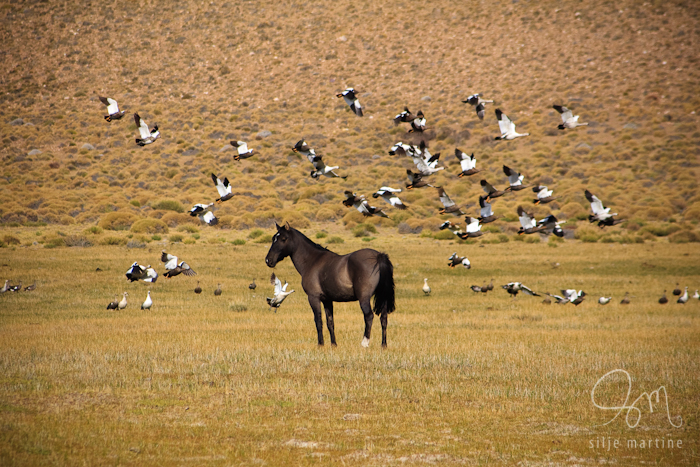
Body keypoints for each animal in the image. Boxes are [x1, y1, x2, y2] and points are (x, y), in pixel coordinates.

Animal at [264, 223, 396, 348]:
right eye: (273, 238)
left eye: (283, 239)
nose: (268, 260)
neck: (312, 261)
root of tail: (378, 256)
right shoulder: (327, 300)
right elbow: (330, 322)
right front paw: (333, 344)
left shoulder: (314, 298)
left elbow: (318, 321)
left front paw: (320, 344)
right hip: (383, 297)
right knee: (384, 318)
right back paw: (383, 345)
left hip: (364, 298)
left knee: (369, 316)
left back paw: (364, 343)